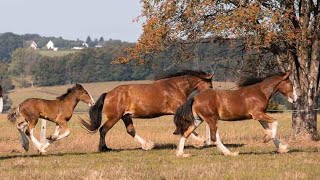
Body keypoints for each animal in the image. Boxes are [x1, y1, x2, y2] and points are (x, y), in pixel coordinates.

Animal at [81, 69, 214, 151]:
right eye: (210, 85)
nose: (211, 96)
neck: (175, 87)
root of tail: (108, 94)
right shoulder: (178, 110)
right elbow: (189, 125)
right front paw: (201, 141)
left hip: (126, 116)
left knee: (130, 131)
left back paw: (147, 145)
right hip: (115, 117)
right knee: (103, 130)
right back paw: (104, 148)